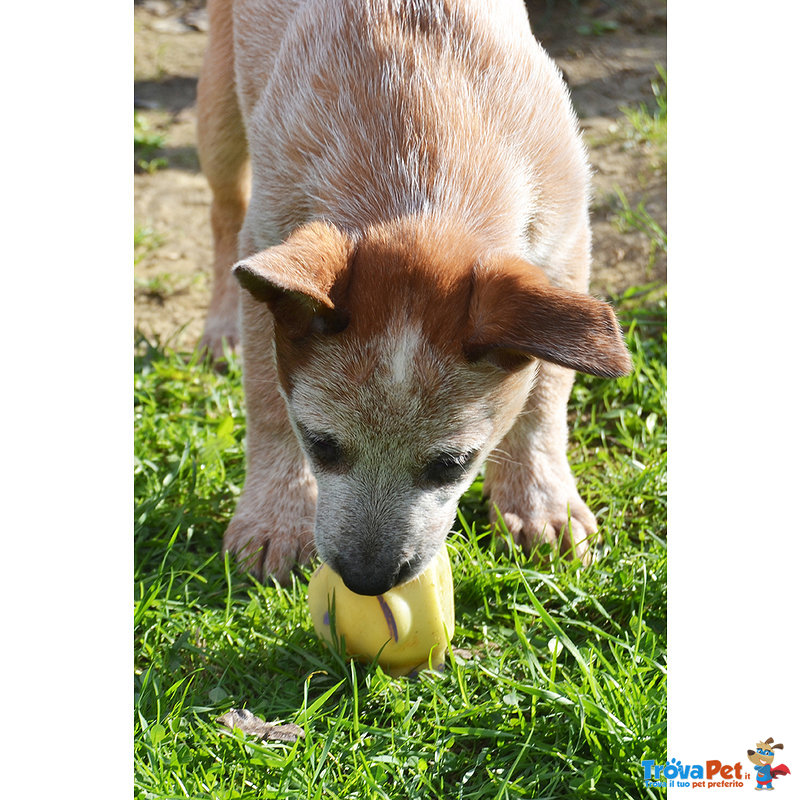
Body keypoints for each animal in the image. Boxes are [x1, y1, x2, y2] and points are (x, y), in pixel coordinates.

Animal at [194, 0, 632, 592]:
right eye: (321, 444)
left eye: (452, 464)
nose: (367, 580)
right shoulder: (268, 237)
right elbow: (266, 403)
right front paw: (274, 520)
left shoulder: (564, 248)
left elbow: (544, 397)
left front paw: (540, 504)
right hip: (219, 109)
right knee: (223, 211)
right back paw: (222, 330)